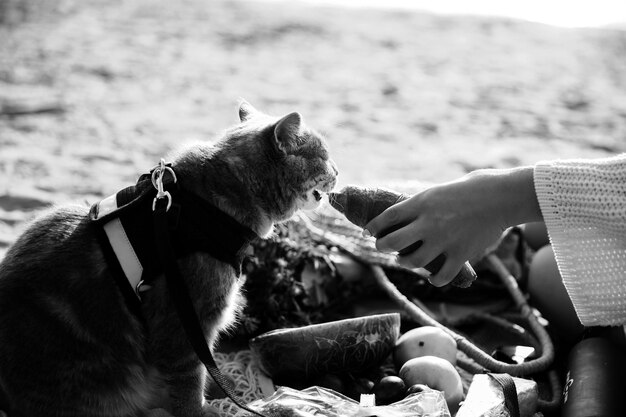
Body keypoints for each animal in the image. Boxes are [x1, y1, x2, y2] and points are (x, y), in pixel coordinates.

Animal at [0, 101, 336, 416]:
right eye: (325, 156)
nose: (337, 171)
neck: (209, 207)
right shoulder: (185, 323)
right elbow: (190, 381)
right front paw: (205, 409)